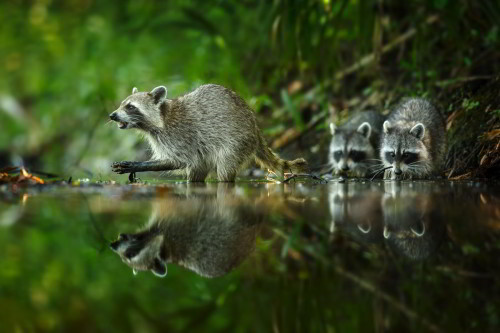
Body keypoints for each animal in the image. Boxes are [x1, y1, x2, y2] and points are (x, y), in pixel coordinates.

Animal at [109, 84, 308, 180]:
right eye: (122, 104)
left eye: (130, 107)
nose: (112, 115)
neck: (161, 117)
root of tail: (256, 128)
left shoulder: (180, 135)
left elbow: (178, 161)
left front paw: (138, 165)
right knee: (197, 171)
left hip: (236, 142)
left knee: (225, 168)